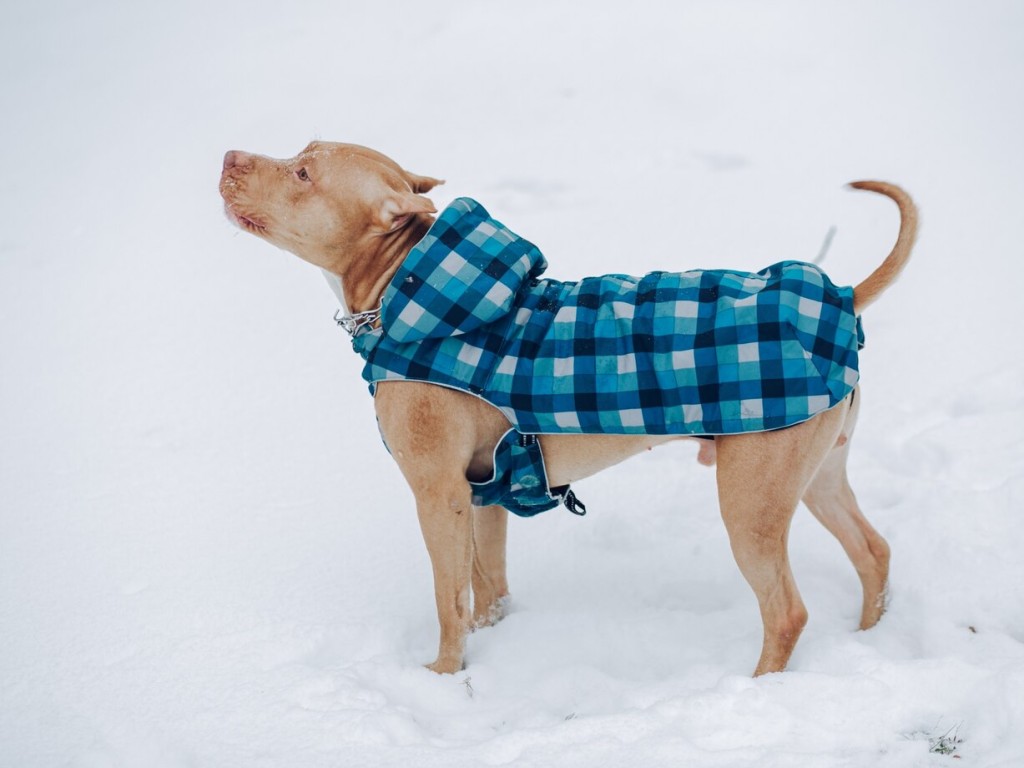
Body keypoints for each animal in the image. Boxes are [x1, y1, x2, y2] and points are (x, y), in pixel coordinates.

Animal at [220, 141, 917, 675]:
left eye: (304, 174)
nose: (229, 156)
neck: (406, 283)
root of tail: (842, 296)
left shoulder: (438, 495)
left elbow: (448, 601)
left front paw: (444, 676)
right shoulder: (484, 493)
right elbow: (486, 588)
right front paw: (495, 639)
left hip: (751, 503)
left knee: (787, 610)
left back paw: (756, 689)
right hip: (818, 474)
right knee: (874, 550)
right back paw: (869, 640)